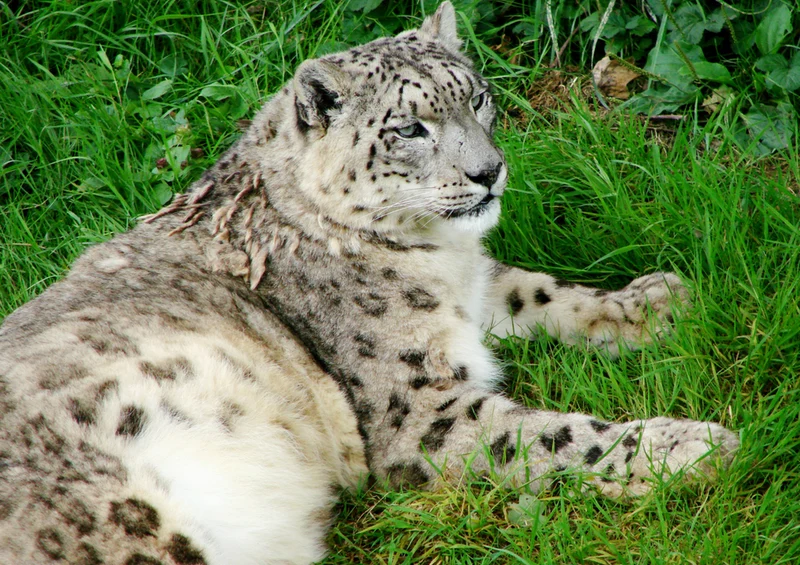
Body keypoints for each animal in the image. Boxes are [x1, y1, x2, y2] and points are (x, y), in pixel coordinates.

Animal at [0, 3, 738, 564]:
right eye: (410, 128)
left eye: (477, 97)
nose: (489, 172)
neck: (438, 258)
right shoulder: (420, 408)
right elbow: (553, 438)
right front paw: (689, 446)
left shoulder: (471, 295)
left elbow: (538, 290)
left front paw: (654, 302)